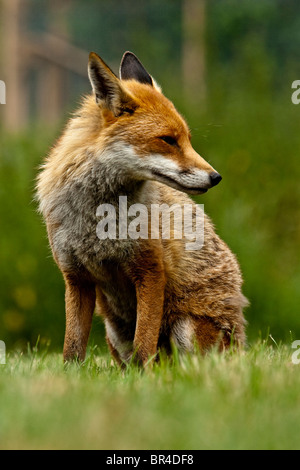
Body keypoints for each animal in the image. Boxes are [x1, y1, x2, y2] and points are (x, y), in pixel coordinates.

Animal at [36, 52, 247, 368]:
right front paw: (69, 376)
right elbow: (72, 348)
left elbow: (144, 342)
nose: (216, 177)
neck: (100, 219)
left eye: (187, 139)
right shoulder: (75, 276)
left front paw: (142, 376)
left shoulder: (150, 270)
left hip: (187, 330)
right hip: (114, 333)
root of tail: (242, 345)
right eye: (168, 140)